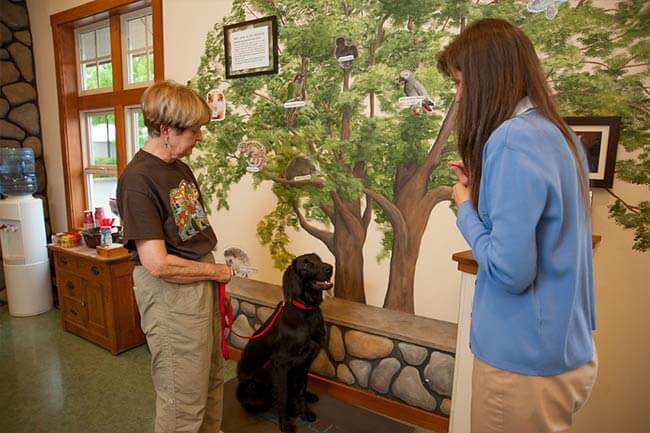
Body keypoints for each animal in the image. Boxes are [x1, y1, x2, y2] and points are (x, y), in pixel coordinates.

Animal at [235, 253, 332, 432]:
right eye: (306, 265)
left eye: (319, 259)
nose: (330, 268)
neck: (306, 311)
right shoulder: (280, 364)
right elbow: (283, 396)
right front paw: (285, 423)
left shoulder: (306, 361)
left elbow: (301, 390)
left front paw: (305, 412)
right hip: (252, 391)